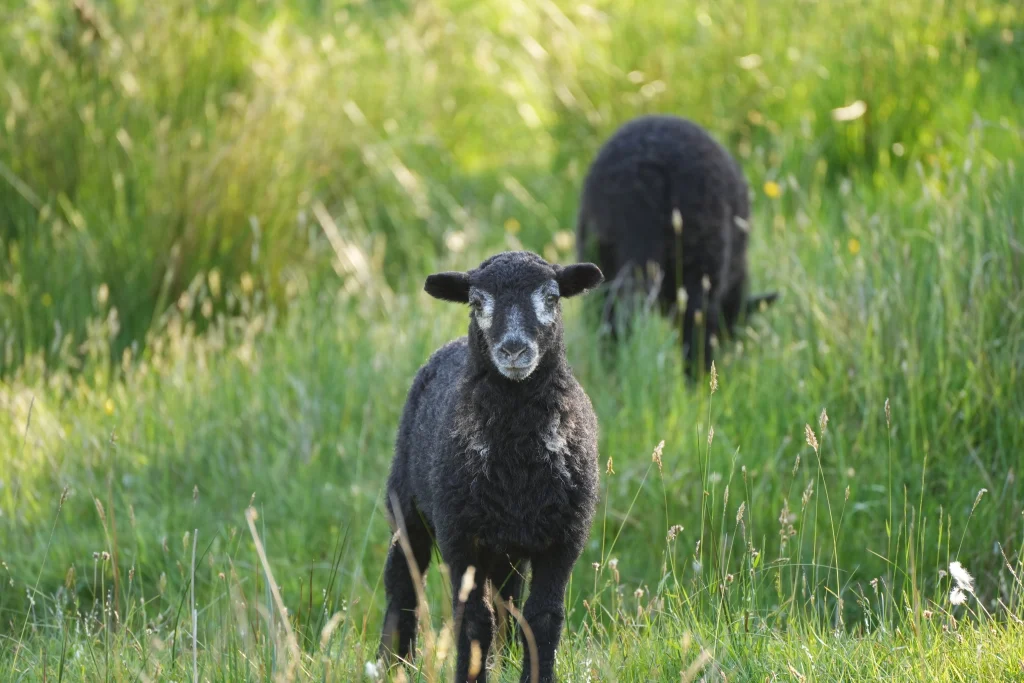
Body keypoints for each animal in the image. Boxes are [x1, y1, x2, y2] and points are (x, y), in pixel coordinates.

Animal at [378, 250, 605, 683]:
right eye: (476, 302)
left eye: (552, 297)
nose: (514, 350)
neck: (517, 452)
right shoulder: (460, 536)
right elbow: (473, 620)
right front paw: (470, 673)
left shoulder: (564, 537)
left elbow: (543, 618)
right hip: (407, 502)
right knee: (403, 579)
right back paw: (391, 662)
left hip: (508, 542)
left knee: (508, 593)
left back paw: (504, 656)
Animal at [575, 114, 778, 377]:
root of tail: (648, 168)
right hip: (702, 256)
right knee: (694, 328)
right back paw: (700, 384)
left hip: (601, 258)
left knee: (609, 322)